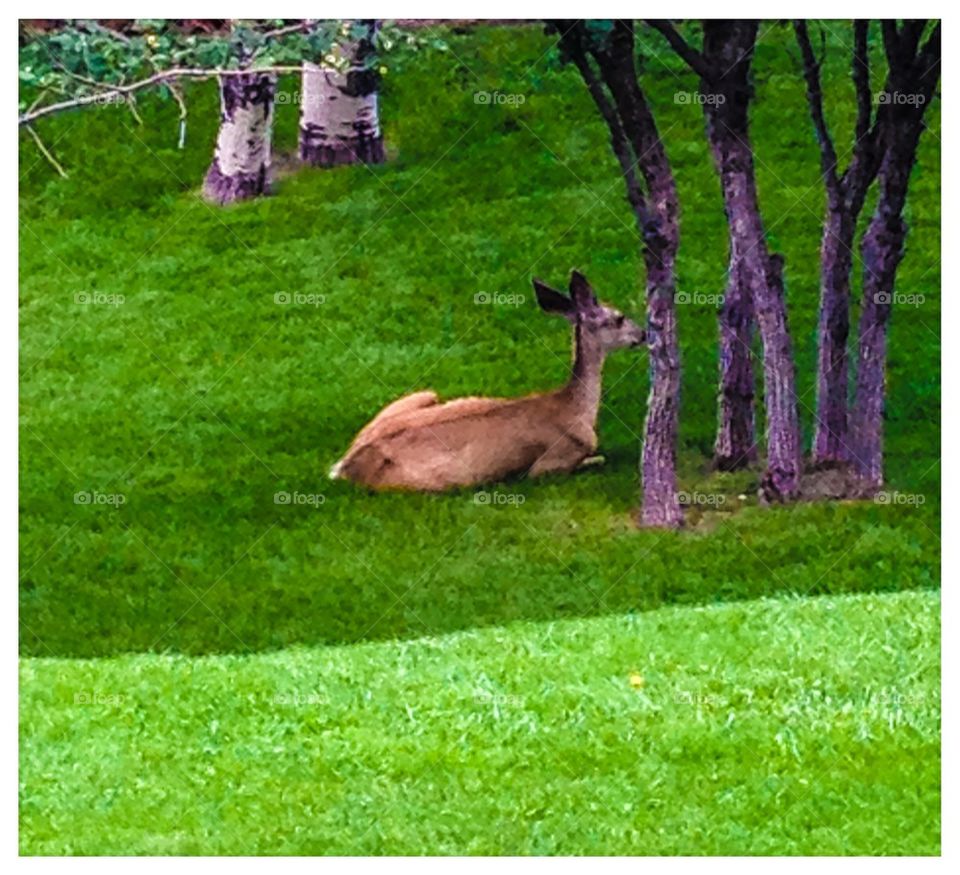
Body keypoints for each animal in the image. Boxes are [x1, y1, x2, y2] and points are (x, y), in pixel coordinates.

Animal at [329, 271, 646, 491]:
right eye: (619, 317)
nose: (642, 334)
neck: (576, 409)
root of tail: (344, 467)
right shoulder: (549, 464)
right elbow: (593, 460)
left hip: (422, 394)